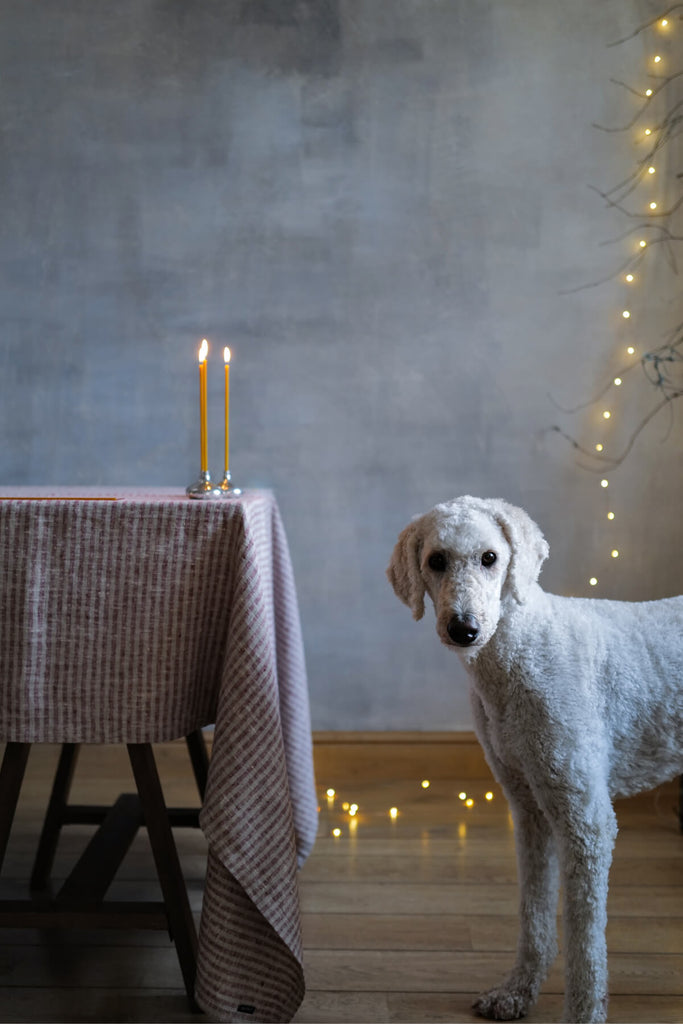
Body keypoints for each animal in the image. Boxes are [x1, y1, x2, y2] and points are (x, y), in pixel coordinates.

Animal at [387, 491, 683, 1019]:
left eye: (490, 558)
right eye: (436, 561)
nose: (464, 628)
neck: (520, 649)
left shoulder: (585, 819)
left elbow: (586, 940)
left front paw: (584, 1013)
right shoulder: (529, 807)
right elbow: (534, 911)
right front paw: (516, 993)